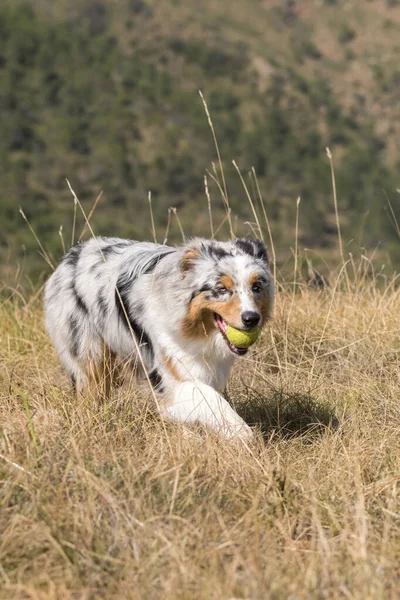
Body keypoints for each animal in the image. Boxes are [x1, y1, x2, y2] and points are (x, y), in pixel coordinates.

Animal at [44, 237, 276, 438]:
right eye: (221, 289)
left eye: (256, 287)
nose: (251, 318)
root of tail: (75, 252)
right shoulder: (171, 375)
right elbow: (209, 397)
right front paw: (240, 431)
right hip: (90, 355)